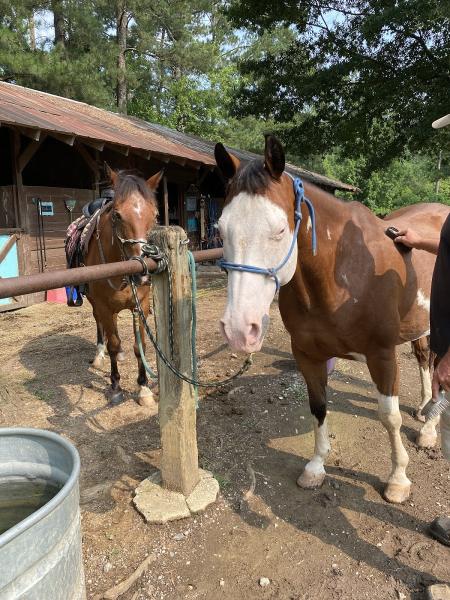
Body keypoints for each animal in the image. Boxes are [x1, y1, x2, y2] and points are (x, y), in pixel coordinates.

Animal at [84, 166, 162, 406]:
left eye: (156, 215)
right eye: (117, 215)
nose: (142, 275)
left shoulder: (141, 305)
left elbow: (141, 346)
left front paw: (144, 387)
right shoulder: (103, 305)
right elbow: (113, 343)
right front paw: (116, 386)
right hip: (95, 304)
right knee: (101, 325)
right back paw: (100, 354)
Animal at [214, 135, 450, 502]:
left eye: (279, 229)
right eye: (221, 229)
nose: (239, 329)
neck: (343, 275)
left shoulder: (382, 356)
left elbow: (389, 417)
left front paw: (398, 479)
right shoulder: (307, 355)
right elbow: (318, 407)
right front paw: (315, 467)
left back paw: (428, 430)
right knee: (425, 360)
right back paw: (425, 409)